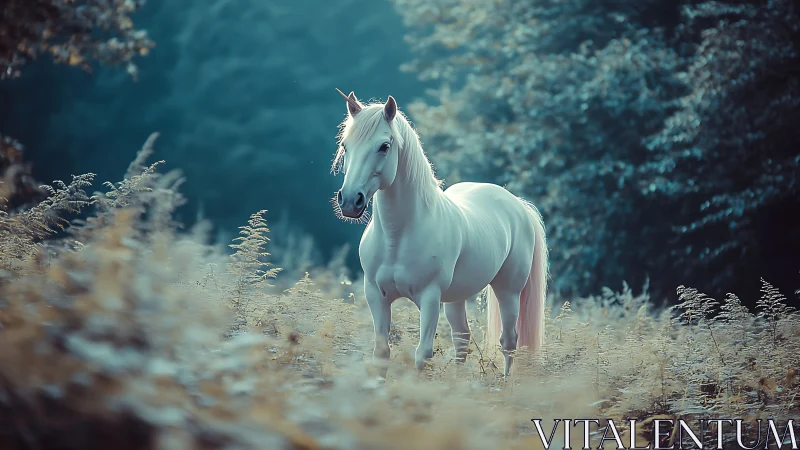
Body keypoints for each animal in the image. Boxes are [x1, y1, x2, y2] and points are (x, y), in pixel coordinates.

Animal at [330, 89, 549, 378]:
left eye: (384, 146)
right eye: (345, 146)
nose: (349, 201)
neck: (397, 237)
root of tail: (518, 205)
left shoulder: (430, 298)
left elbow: (423, 356)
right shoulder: (376, 295)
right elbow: (381, 353)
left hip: (508, 291)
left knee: (509, 342)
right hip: (457, 298)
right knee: (462, 340)